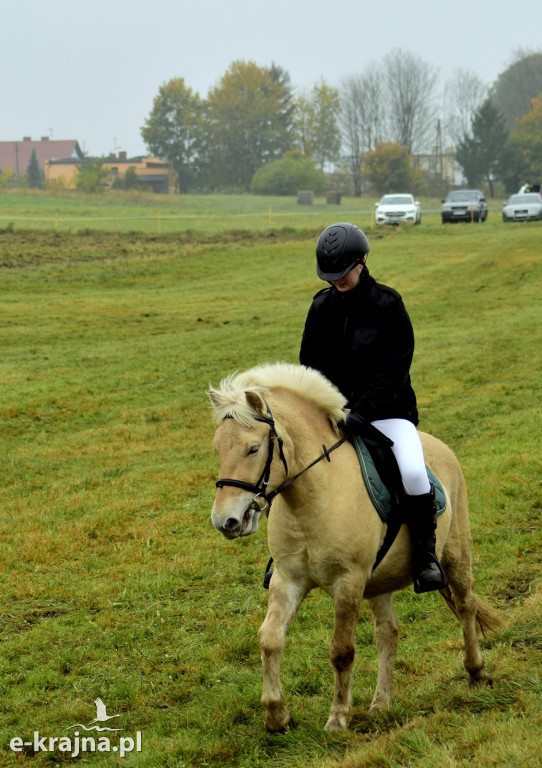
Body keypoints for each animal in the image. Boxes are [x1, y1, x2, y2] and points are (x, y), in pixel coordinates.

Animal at [207, 362, 502, 732]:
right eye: (218, 449)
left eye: (253, 449)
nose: (225, 521)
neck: (312, 498)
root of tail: (438, 446)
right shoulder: (288, 579)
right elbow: (270, 638)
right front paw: (277, 715)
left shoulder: (348, 581)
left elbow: (341, 650)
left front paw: (337, 717)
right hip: (379, 579)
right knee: (387, 631)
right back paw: (381, 702)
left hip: (454, 555)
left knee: (465, 607)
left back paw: (476, 673)